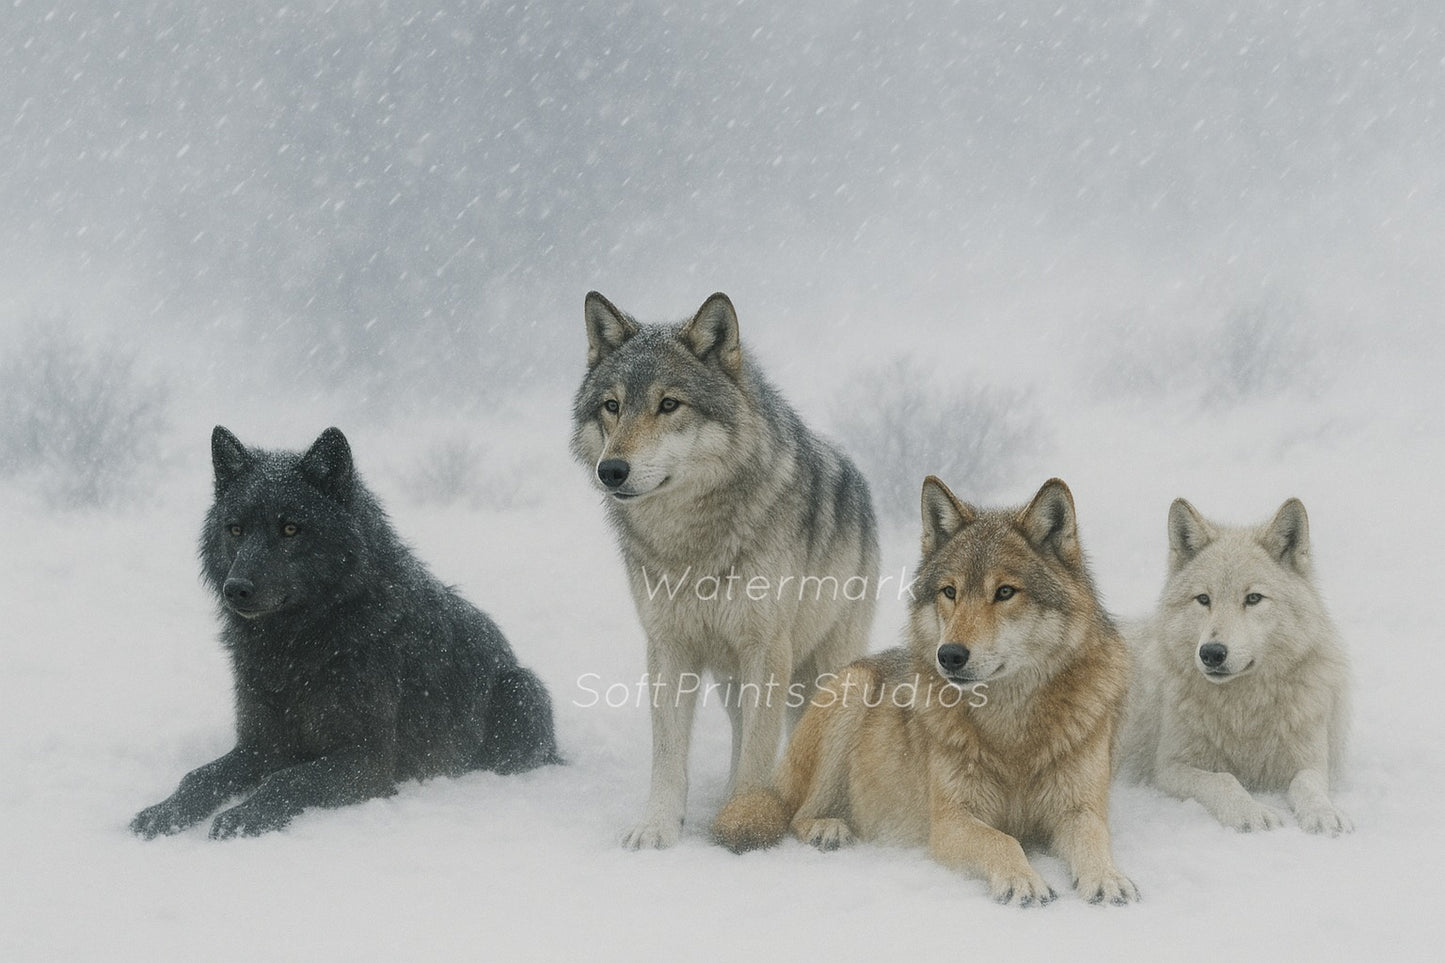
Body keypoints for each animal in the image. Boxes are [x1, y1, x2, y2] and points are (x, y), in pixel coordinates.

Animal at [130, 426, 559, 839]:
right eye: (235, 529)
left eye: (290, 528)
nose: (235, 589)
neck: (297, 644)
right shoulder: (260, 746)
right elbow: (197, 778)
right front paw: (163, 813)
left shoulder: (368, 758)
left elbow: (288, 780)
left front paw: (243, 816)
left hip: (521, 688)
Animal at [572, 291, 879, 850]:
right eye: (612, 405)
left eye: (669, 404)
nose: (612, 470)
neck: (692, 545)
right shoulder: (669, 648)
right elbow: (669, 754)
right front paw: (658, 827)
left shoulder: (767, 650)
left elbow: (759, 752)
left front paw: (746, 824)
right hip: (730, 677)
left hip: (828, 667)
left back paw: (823, 820)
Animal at [715, 477, 1139, 907]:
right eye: (949, 592)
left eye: (1005, 592)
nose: (949, 655)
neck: (1009, 724)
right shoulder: (950, 821)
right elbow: (1002, 840)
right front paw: (1023, 880)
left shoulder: (1079, 809)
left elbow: (1094, 840)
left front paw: (1108, 879)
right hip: (853, 690)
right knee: (797, 815)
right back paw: (827, 828)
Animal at [1119, 497, 1352, 835]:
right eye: (1203, 599)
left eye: (1253, 598)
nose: (1212, 653)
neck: (1243, 709)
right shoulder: (1170, 767)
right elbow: (1223, 780)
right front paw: (1249, 812)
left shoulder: (1312, 762)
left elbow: (1307, 785)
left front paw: (1324, 813)